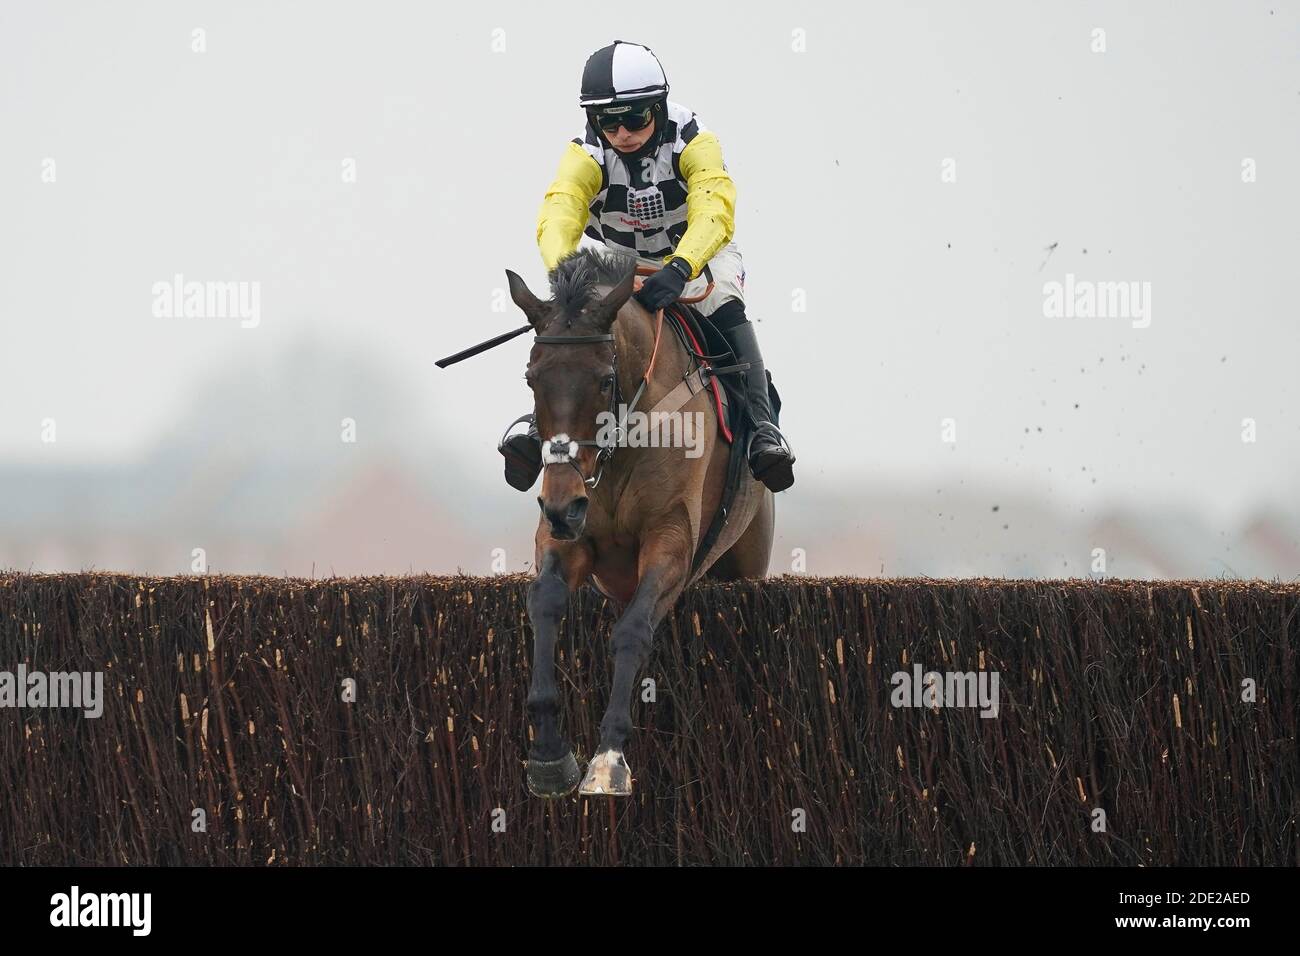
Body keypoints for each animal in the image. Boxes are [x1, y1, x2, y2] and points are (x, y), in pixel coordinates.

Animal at [504, 251, 769, 796]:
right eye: (531, 378)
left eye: (605, 379)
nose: (562, 506)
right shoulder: (566, 537)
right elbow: (545, 602)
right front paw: (549, 754)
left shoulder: (671, 540)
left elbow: (631, 631)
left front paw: (608, 760)